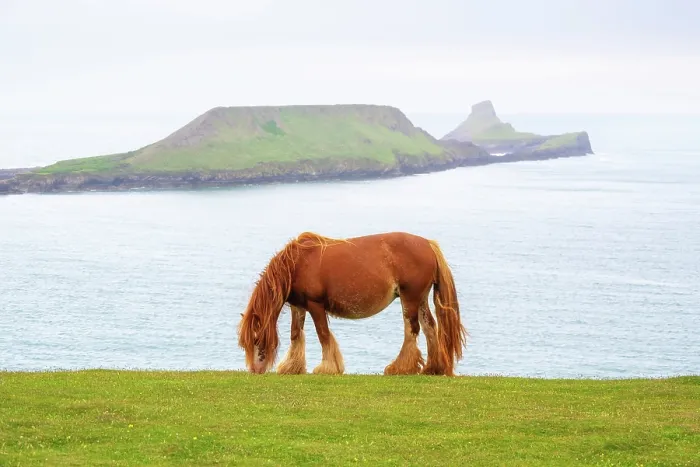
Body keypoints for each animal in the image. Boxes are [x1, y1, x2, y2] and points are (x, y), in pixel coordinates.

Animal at [237, 231, 468, 376]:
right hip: (420, 298)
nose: (255, 370)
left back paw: (401, 368)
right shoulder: (299, 306)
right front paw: (292, 367)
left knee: (412, 329)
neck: (297, 263)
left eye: (256, 339)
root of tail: (429, 244)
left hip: (409, 297)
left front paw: (328, 368)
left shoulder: (315, 305)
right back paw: (433, 368)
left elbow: (323, 334)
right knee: (430, 327)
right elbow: (296, 334)